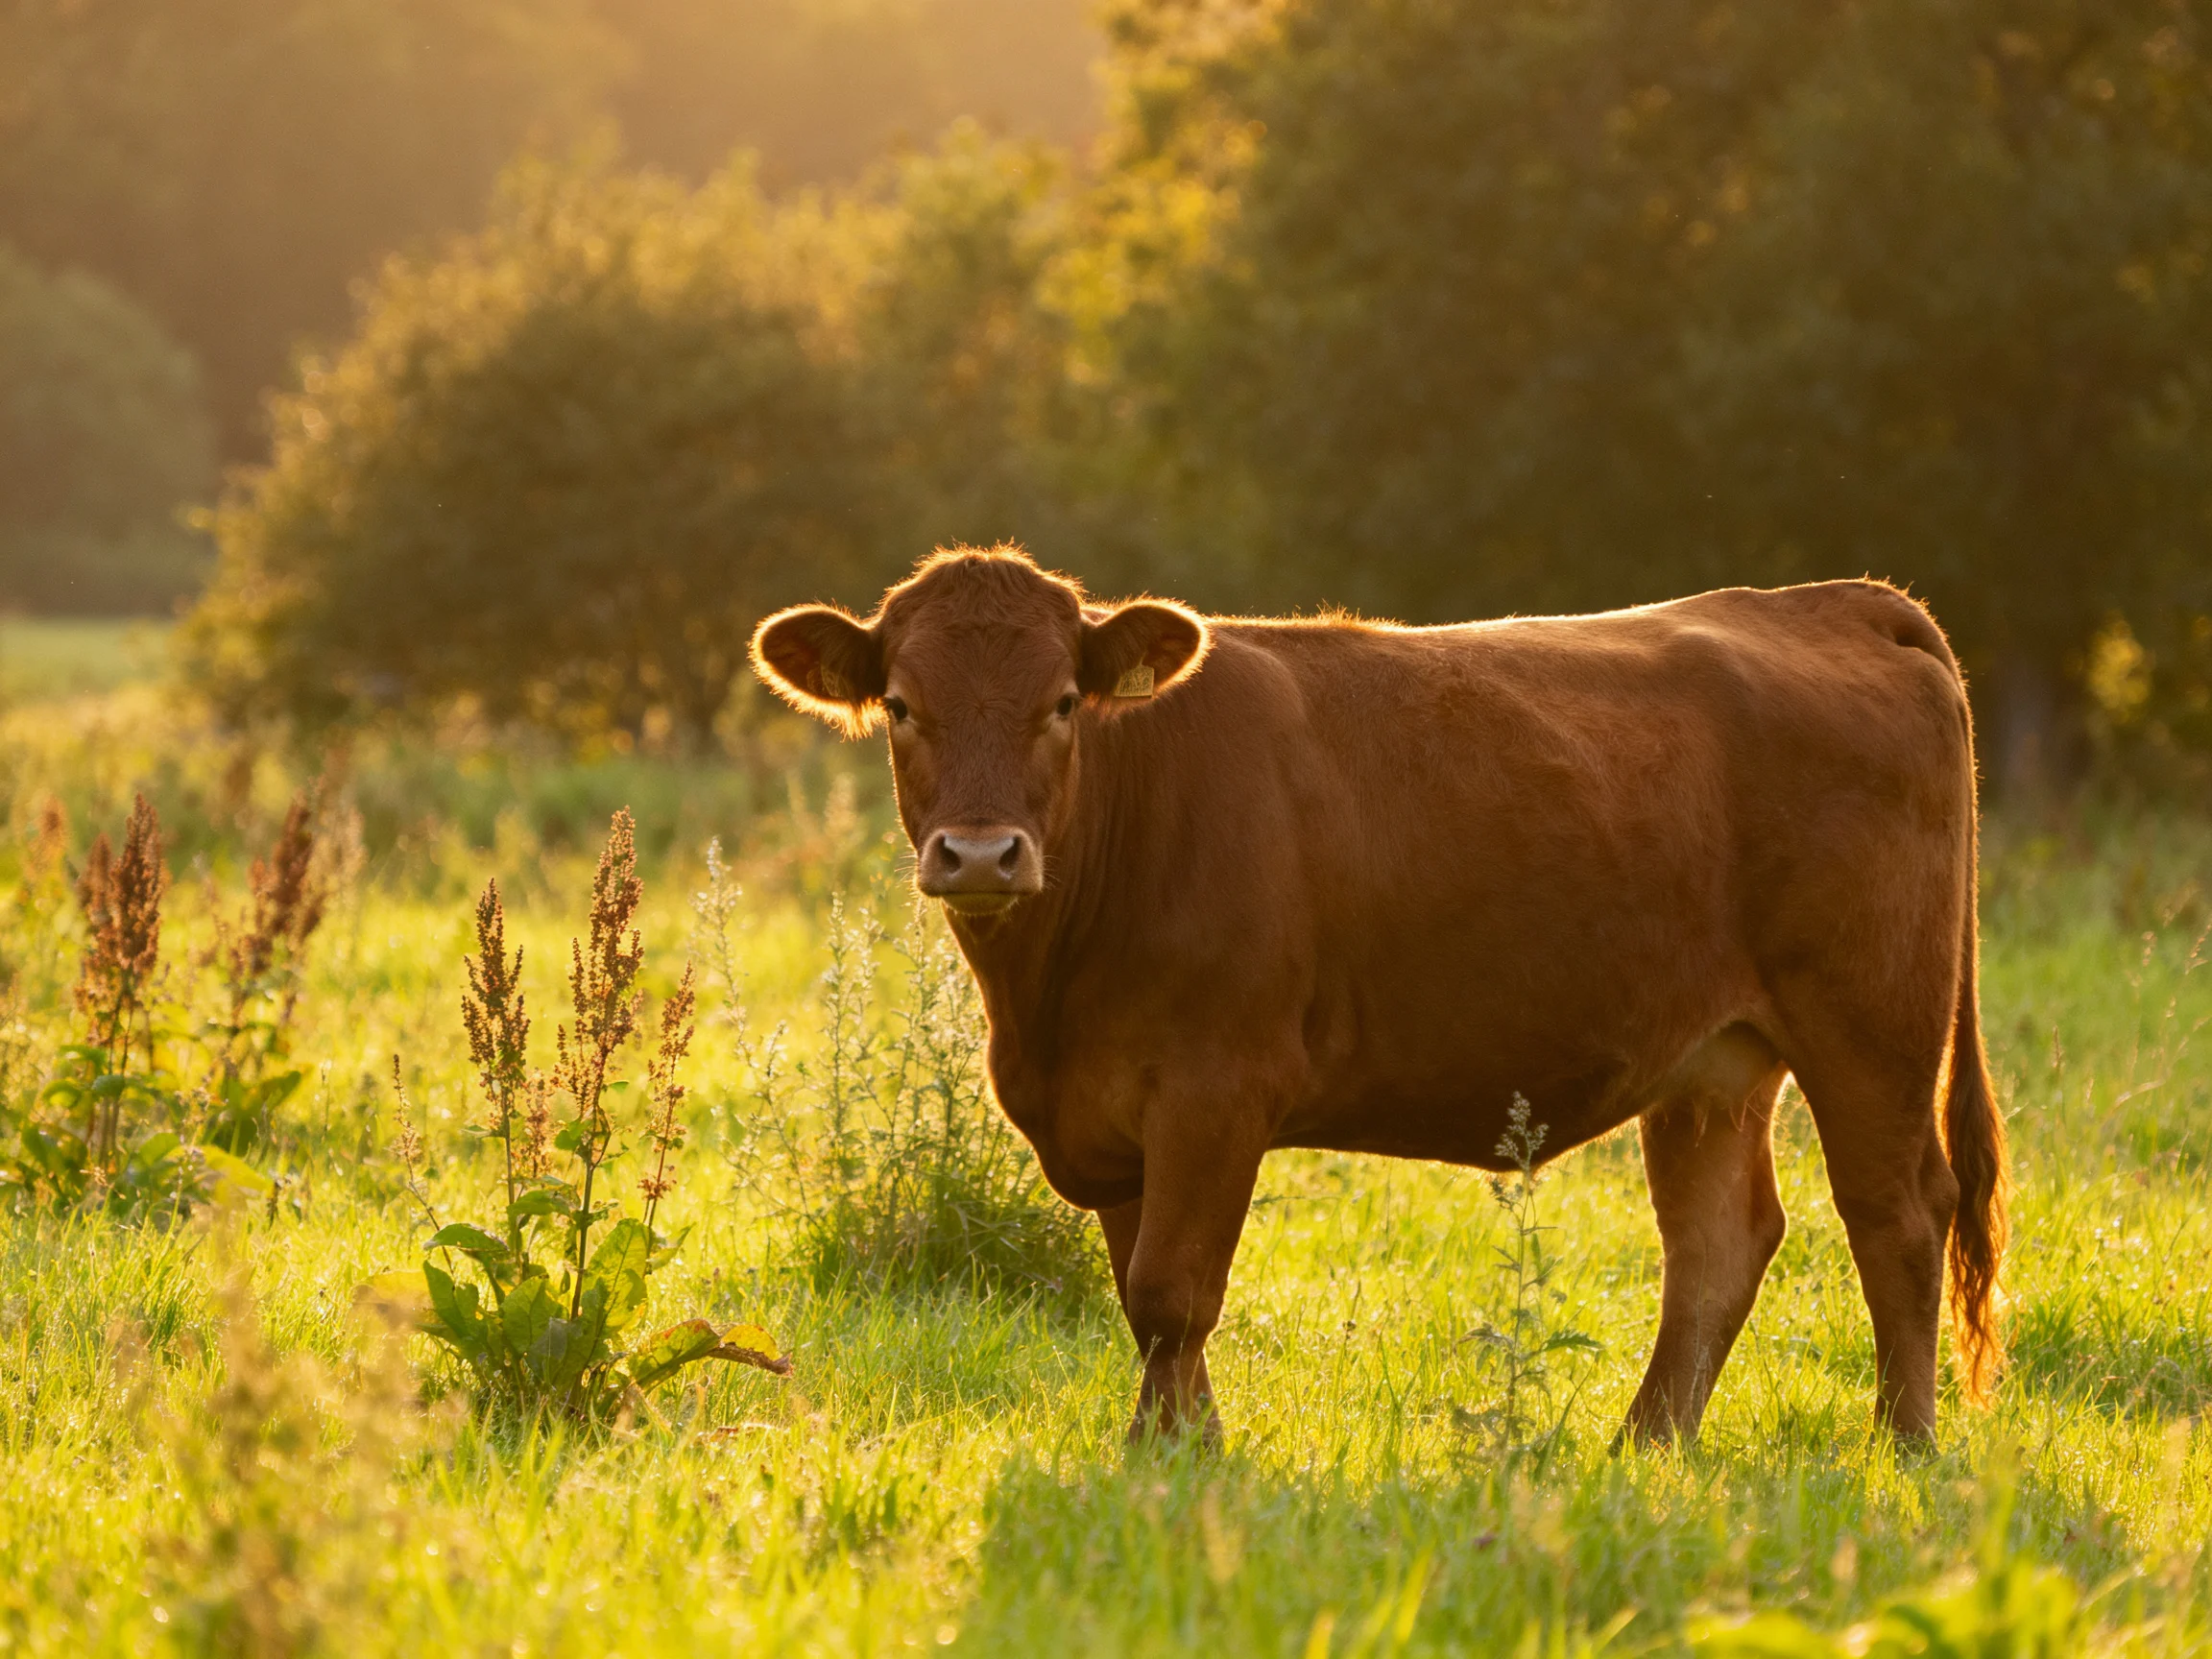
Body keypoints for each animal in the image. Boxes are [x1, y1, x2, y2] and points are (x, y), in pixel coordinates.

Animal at [751, 546, 2006, 1447]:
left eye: (1062, 702)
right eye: (901, 706)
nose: (980, 854)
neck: (1046, 1003)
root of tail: (1833, 601)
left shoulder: (1215, 1088)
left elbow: (1170, 1292)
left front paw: (1161, 1459)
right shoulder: (1110, 1112)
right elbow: (1140, 1291)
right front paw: (1190, 1445)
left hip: (1872, 1024)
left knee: (1898, 1214)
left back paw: (1903, 1448)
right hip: (1714, 1059)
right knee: (1717, 1243)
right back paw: (1645, 1447)